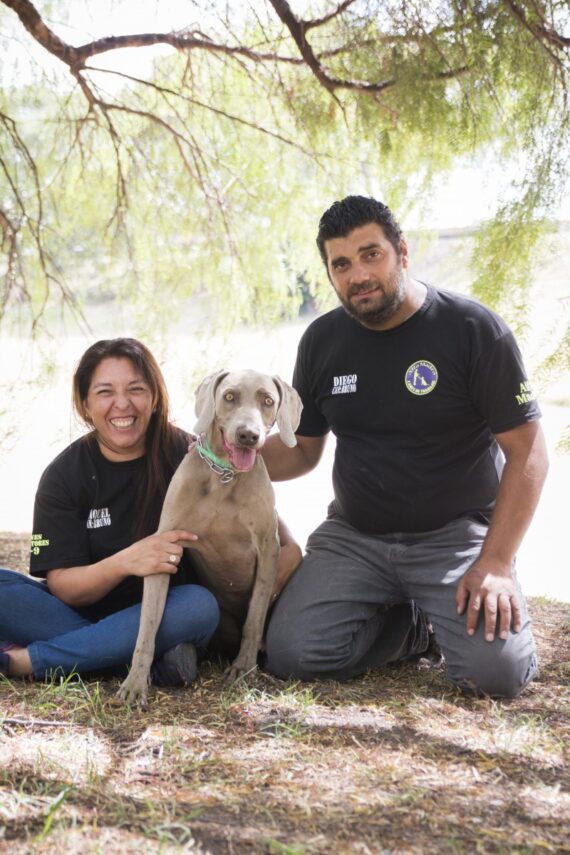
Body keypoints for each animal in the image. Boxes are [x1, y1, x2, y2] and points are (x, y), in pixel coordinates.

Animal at [118, 370, 302, 708]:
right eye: (229, 396)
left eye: (268, 401)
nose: (248, 435)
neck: (224, 476)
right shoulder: (165, 547)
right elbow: (147, 627)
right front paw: (135, 683)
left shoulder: (268, 549)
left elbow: (254, 619)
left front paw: (243, 668)